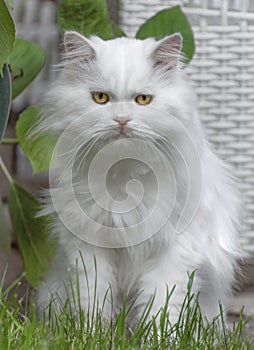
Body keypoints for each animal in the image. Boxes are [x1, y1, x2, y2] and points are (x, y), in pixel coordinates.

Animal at [35, 30, 240, 328]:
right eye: (100, 98)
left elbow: (162, 305)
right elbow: (93, 298)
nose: (122, 120)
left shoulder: (173, 248)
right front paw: (92, 331)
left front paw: (159, 335)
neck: (124, 175)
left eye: (143, 100)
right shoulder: (89, 246)